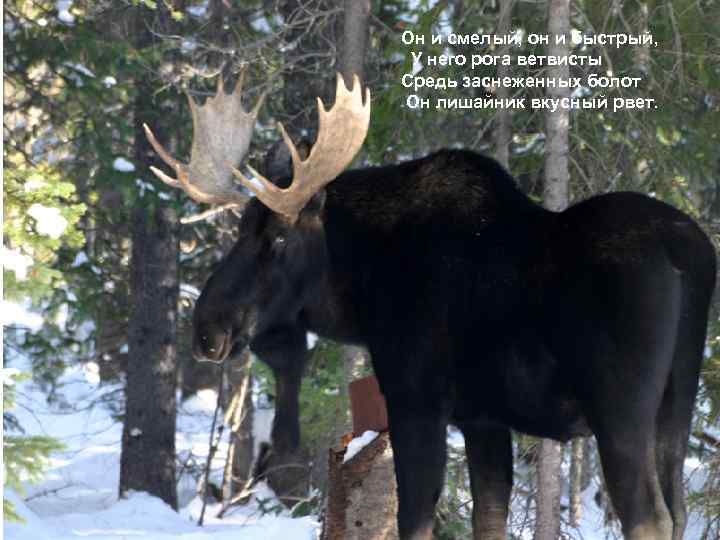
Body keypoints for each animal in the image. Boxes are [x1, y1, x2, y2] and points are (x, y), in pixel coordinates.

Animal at [145, 73, 716, 540]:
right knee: (679, 511)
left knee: (649, 518)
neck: (362, 296)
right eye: (241, 229)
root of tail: (691, 253)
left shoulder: (416, 400)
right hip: (676, 407)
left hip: (620, 411)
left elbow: (415, 521)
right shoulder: (483, 419)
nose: (206, 328)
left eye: (280, 238)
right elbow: (488, 520)